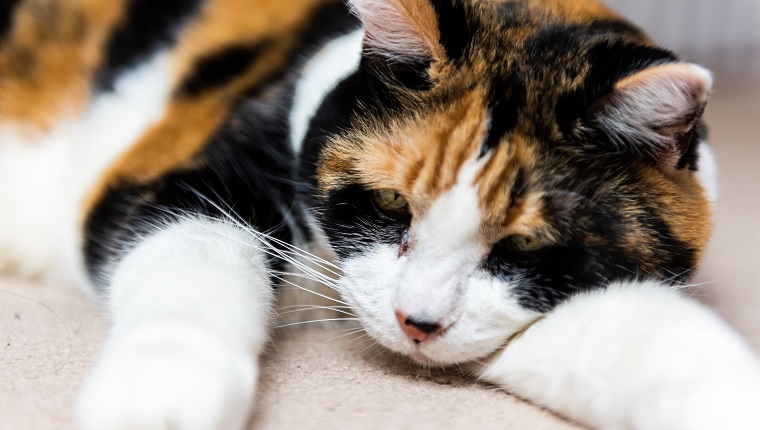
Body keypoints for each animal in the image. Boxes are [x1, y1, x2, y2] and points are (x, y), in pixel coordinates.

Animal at [1, 0, 760, 428]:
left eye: (524, 248)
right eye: (393, 202)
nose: (415, 322)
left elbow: (641, 336)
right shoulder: (182, 173)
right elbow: (194, 263)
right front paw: (159, 393)